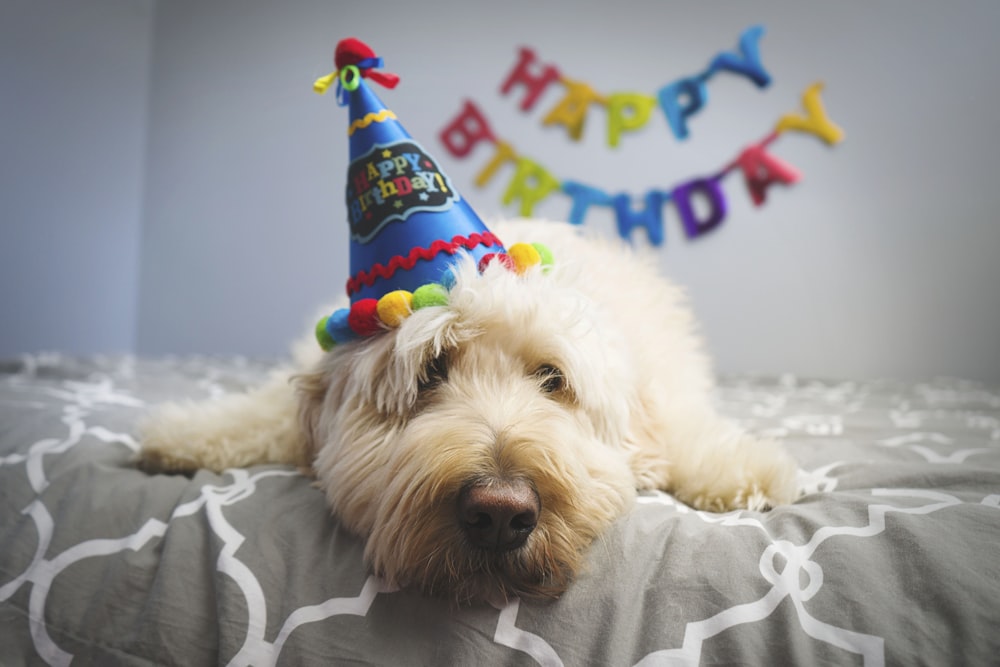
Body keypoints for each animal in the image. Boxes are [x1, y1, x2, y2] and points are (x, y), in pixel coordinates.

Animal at [139, 220, 796, 604]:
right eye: (430, 372)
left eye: (552, 379)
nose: (501, 514)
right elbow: (263, 413)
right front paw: (180, 433)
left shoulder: (665, 399)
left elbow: (689, 437)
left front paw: (752, 472)